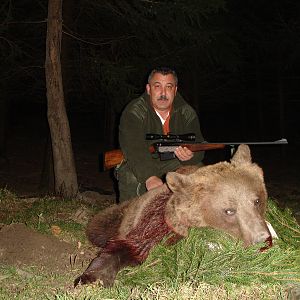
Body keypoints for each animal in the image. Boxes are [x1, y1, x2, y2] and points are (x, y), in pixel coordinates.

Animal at [74, 145, 270, 288]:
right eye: (229, 210)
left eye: (257, 201)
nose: (262, 239)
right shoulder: (152, 224)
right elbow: (125, 247)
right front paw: (90, 278)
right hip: (118, 214)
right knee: (98, 227)